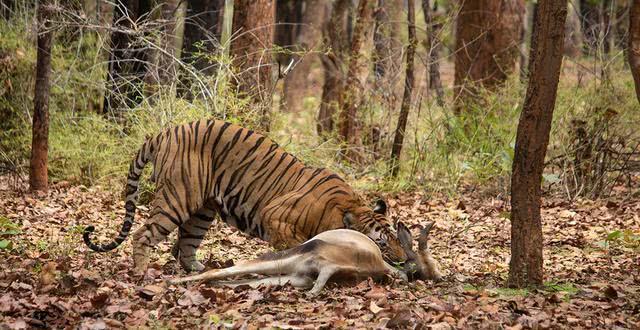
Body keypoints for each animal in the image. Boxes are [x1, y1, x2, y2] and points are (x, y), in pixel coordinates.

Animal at [84, 120, 410, 272]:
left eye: (396, 237)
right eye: (381, 243)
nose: (405, 260)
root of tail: (164, 132)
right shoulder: (275, 217)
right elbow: (297, 246)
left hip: (203, 210)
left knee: (185, 244)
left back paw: (198, 269)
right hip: (177, 197)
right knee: (143, 234)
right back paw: (142, 273)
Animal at [168, 222, 442, 294]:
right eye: (429, 262)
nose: (440, 277)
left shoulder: (313, 273)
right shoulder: (326, 262)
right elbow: (326, 273)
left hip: (288, 276)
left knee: (232, 280)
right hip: (281, 259)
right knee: (216, 271)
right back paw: (170, 283)